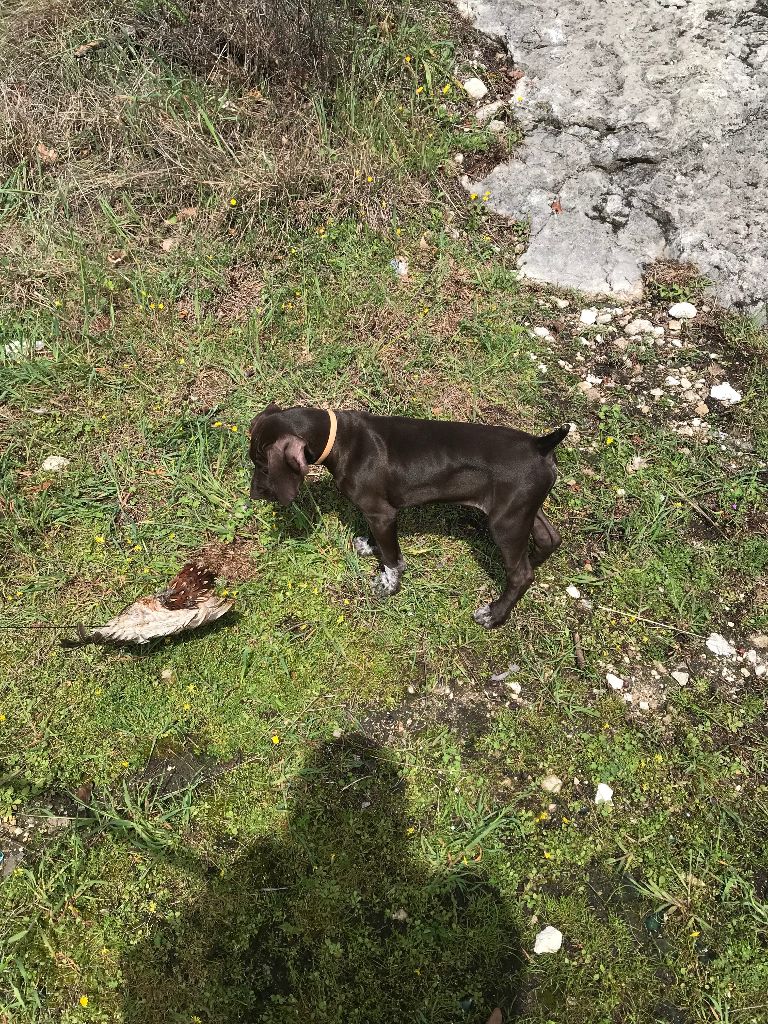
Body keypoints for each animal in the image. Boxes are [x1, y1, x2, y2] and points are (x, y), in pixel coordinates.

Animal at [249, 403, 569, 626]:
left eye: (263, 466)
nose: (253, 495)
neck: (342, 441)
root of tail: (541, 445)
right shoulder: (379, 516)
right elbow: (381, 541)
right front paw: (370, 546)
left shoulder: (381, 512)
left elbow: (393, 558)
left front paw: (389, 584)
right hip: (523, 510)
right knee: (549, 539)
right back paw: (532, 562)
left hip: (506, 522)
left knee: (521, 575)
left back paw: (495, 613)